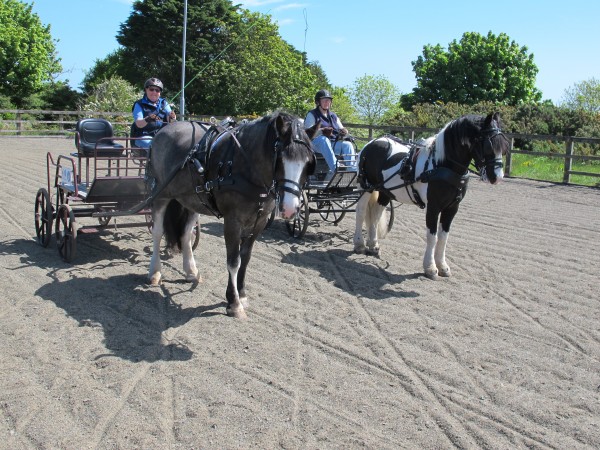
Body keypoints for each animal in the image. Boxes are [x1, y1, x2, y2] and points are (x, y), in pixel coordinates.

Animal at [149, 111, 318, 318]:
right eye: (280, 159)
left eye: (308, 163)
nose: (289, 209)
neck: (244, 166)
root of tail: (165, 128)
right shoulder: (232, 221)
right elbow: (233, 261)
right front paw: (233, 302)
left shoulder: (260, 221)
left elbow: (245, 258)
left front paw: (242, 294)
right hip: (161, 194)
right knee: (157, 232)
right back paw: (155, 272)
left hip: (192, 200)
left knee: (186, 233)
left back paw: (191, 271)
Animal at [354, 112, 508, 280]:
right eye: (488, 145)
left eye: (503, 147)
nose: (497, 177)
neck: (441, 165)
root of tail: (372, 143)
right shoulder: (433, 207)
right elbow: (432, 237)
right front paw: (430, 267)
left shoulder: (452, 208)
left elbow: (443, 237)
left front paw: (443, 266)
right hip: (365, 187)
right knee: (361, 212)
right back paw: (359, 244)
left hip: (385, 191)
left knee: (375, 215)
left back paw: (373, 245)